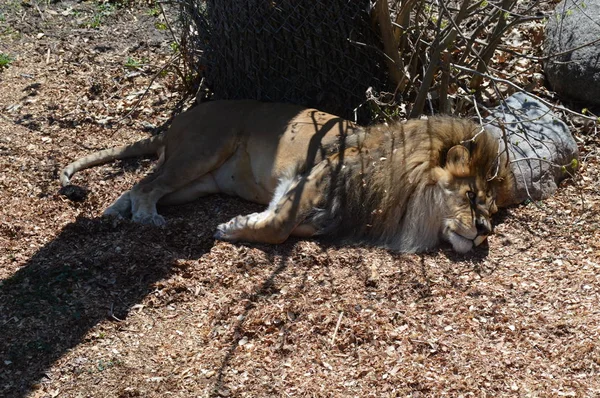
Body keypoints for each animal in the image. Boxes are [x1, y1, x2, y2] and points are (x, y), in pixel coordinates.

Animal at [59, 101, 510, 253]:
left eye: (491, 211)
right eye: (471, 198)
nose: (484, 231)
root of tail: (175, 122)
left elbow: (285, 224)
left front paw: (246, 221)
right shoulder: (316, 173)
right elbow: (277, 228)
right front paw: (233, 228)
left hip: (196, 183)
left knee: (139, 187)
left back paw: (114, 214)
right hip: (200, 153)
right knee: (146, 187)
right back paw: (145, 218)